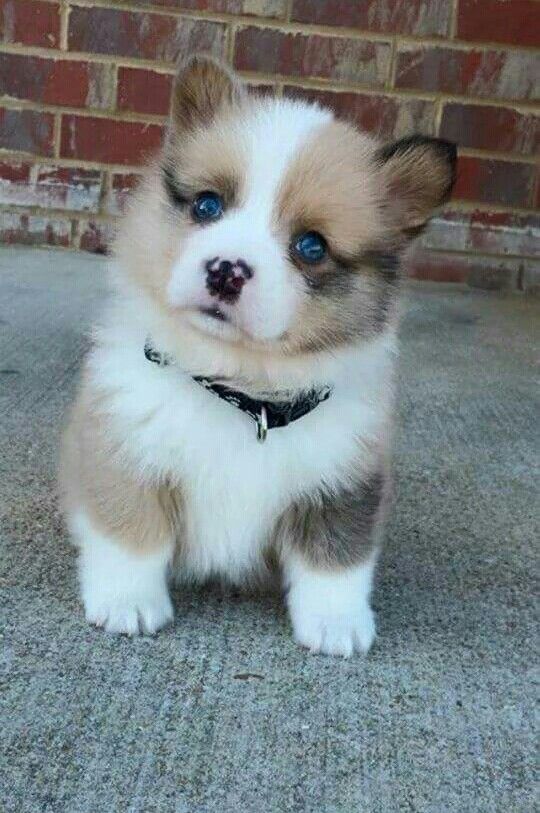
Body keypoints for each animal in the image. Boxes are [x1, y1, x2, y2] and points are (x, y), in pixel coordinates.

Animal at [59, 55, 456, 652]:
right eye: (207, 205)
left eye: (311, 245)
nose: (226, 271)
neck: (241, 391)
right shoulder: (125, 449)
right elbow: (132, 533)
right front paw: (127, 602)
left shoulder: (344, 481)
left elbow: (336, 560)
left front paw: (337, 625)